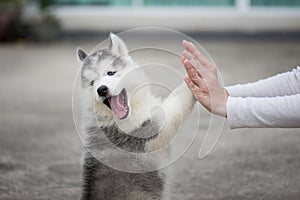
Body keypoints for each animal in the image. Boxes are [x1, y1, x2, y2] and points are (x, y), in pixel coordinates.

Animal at [76, 33, 196, 199]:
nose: (101, 90)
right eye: (92, 83)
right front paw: (196, 77)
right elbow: (177, 100)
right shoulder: (152, 131)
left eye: (111, 73)